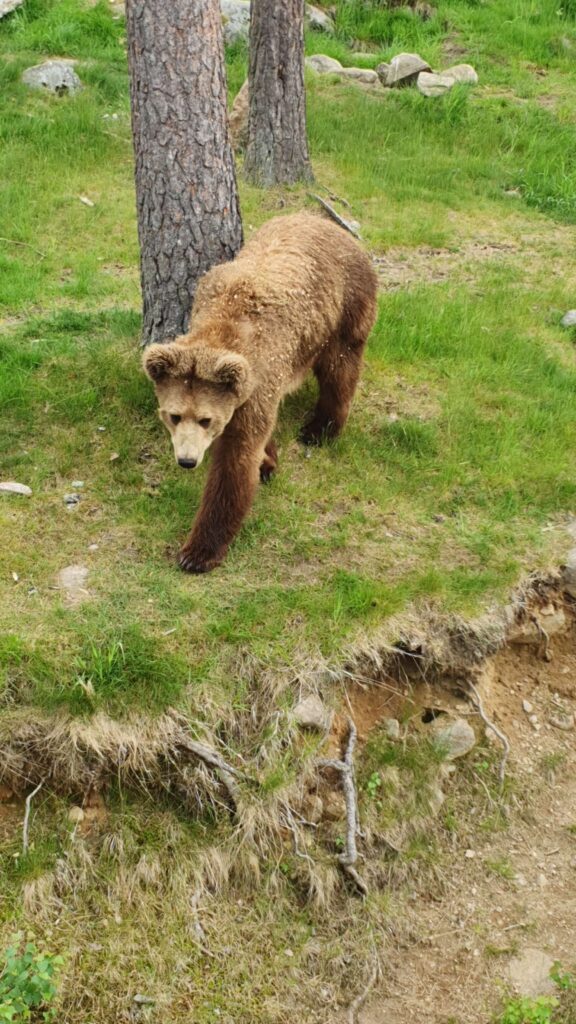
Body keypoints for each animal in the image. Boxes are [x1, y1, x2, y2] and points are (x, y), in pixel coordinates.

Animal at [143, 211, 378, 574]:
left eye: (206, 420)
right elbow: (260, 438)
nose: (187, 460)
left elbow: (235, 463)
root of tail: (331, 225)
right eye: (174, 415)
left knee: (340, 369)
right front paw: (268, 461)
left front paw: (197, 552)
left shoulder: (258, 380)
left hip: (343, 309)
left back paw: (320, 429)